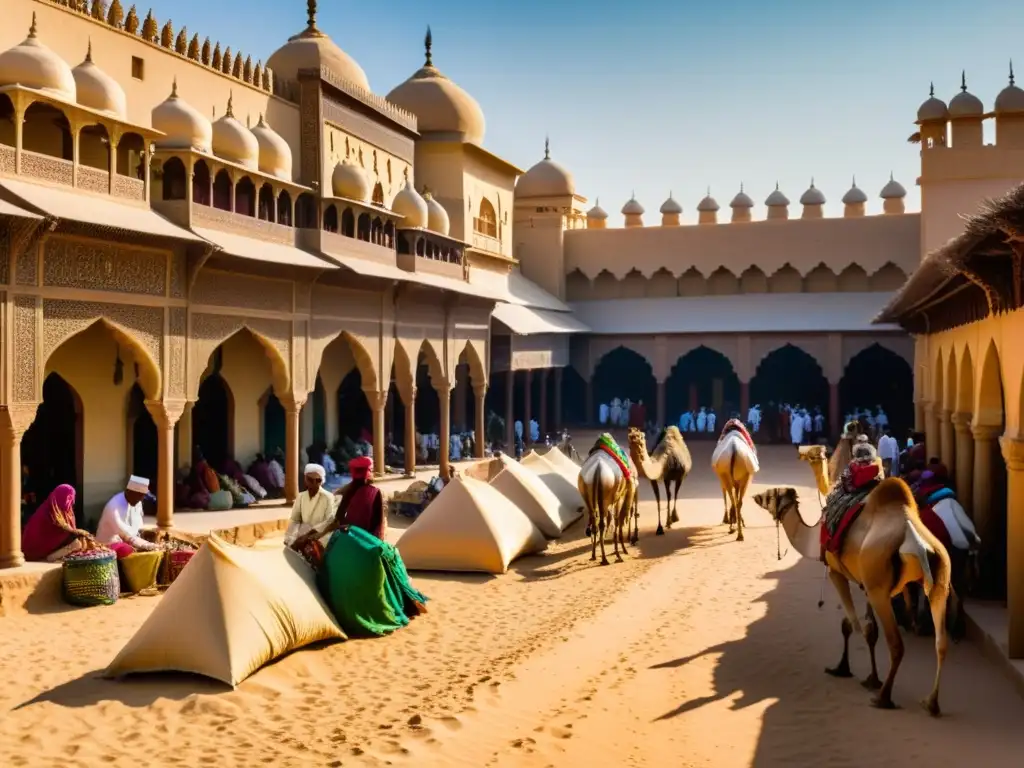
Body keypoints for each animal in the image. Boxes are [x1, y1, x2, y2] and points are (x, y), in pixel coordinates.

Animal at [581, 436, 634, 569]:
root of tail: (597, 469)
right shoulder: (617, 498)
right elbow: (617, 521)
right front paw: (620, 552)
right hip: (605, 496)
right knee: (603, 523)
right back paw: (605, 558)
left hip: (587, 494)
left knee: (595, 522)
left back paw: (594, 555)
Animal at [753, 448, 950, 720]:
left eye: (771, 495)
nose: (755, 496)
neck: (814, 536)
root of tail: (918, 544)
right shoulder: (865, 582)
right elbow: (869, 631)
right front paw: (871, 678)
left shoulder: (838, 572)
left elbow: (849, 625)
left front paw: (842, 668)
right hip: (940, 576)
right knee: (941, 643)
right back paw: (931, 703)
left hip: (880, 588)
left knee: (896, 644)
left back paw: (883, 698)